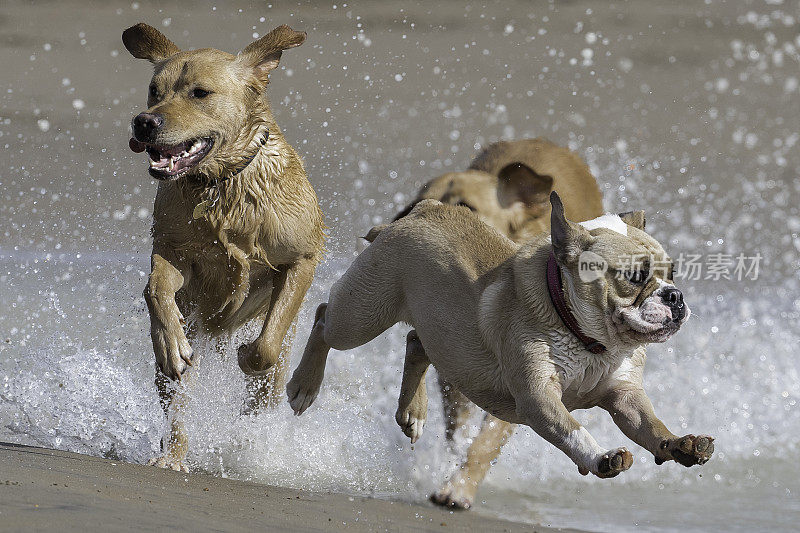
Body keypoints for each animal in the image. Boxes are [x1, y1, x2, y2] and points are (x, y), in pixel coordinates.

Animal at [123, 22, 324, 470]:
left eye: (200, 93)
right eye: (153, 90)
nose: (144, 122)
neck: (222, 184)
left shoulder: (303, 258)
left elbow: (265, 347)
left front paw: (248, 355)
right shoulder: (173, 248)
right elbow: (156, 288)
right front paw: (170, 340)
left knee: (267, 387)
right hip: (181, 361)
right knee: (177, 400)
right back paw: (173, 454)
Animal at [286, 193, 712, 496]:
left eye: (673, 273)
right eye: (634, 277)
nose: (675, 296)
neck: (591, 341)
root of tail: (422, 209)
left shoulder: (626, 397)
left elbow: (649, 425)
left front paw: (680, 444)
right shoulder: (539, 399)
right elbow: (573, 429)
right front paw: (601, 456)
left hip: (439, 332)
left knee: (416, 343)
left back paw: (413, 411)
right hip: (363, 314)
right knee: (324, 319)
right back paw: (304, 385)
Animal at [372, 137, 604, 508]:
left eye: (465, 206)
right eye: (413, 204)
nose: (410, 223)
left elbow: (487, 439)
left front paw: (459, 487)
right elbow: (458, 421)